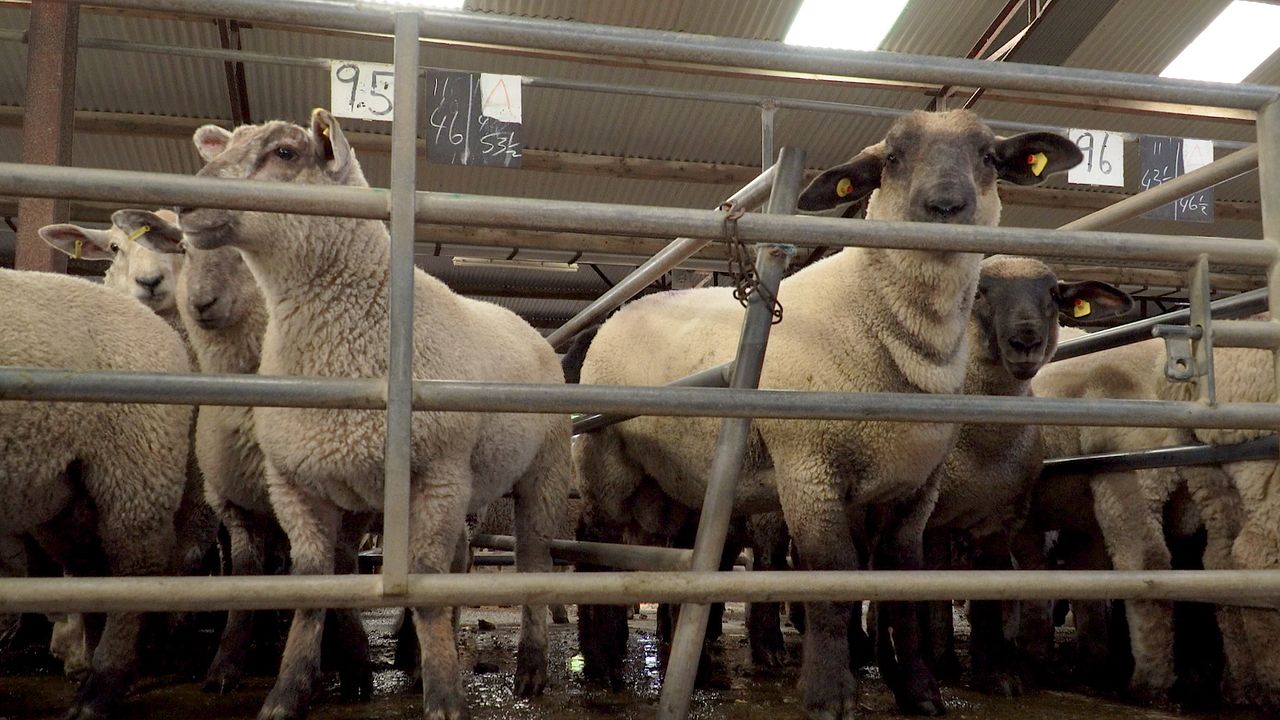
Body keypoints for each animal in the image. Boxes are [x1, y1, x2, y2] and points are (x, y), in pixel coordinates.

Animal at [0, 266, 192, 719]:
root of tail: (162, 330)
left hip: (135, 469)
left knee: (135, 569)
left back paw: (99, 689)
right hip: (65, 494)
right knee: (91, 568)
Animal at [171, 108, 570, 720]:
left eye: (285, 153)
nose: (186, 204)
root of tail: (520, 320)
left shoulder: (436, 473)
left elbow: (425, 586)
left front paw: (446, 697)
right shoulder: (297, 483)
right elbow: (313, 586)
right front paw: (289, 692)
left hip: (540, 472)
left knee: (534, 561)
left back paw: (530, 667)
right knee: (463, 559)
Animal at [572, 109, 1082, 717]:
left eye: (987, 156)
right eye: (892, 158)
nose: (945, 206)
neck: (893, 332)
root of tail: (625, 310)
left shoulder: (916, 488)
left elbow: (902, 586)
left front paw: (920, 692)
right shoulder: (807, 470)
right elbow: (831, 579)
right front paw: (828, 694)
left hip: (673, 481)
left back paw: (688, 669)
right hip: (607, 464)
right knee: (593, 547)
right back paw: (601, 665)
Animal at [920, 255, 1132, 696]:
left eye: (1052, 292)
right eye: (980, 292)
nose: (1026, 340)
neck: (981, 450)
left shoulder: (999, 517)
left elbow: (989, 588)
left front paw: (996, 675)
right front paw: (935, 663)